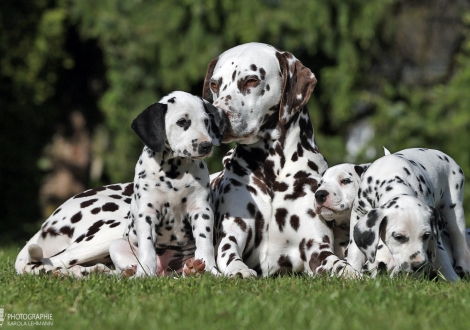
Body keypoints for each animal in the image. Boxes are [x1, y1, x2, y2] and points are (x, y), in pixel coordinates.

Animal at [15, 91, 226, 278]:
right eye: (182, 122)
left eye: (206, 122)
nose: (206, 146)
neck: (175, 174)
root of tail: (47, 223)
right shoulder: (147, 213)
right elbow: (147, 249)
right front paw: (144, 274)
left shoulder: (201, 210)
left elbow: (204, 244)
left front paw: (210, 271)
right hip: (107, 238)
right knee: (42, 263)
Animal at [204, 42, 358, 278]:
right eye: (214, 84)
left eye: (251, 80)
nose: (215, 116)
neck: (271, 172)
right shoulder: (230, 236)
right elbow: (229, 255)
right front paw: (240, 270)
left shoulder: (316, 247)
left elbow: (338, 264)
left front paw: (350, 270)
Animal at [346, 148, 470, 280]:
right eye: (398, 237)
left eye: (426, 235)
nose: (418, 265)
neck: (391, 180)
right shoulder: (358, 213)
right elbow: (355, 249)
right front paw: (351, 272)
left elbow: (441, 255)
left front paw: (452, 279)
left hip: (454, 212)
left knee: (460, 242)